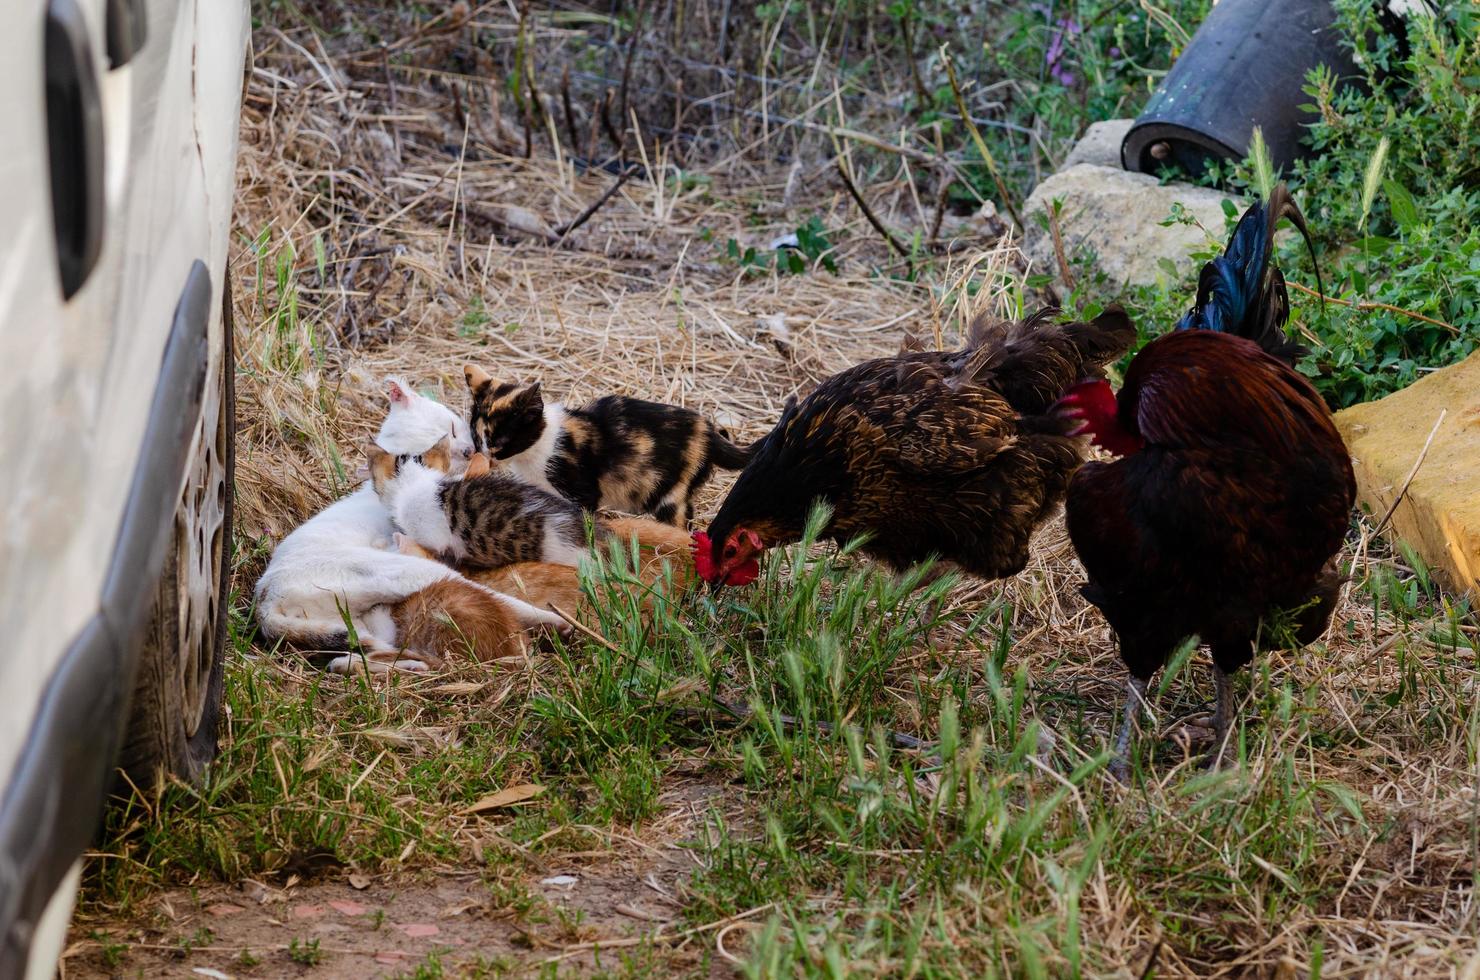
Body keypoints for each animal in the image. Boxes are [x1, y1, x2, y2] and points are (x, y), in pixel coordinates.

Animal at [251, 377, 562, 675]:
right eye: (450, 435)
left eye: (451, 427)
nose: (468, 450)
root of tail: (264, 602)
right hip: (407, 571)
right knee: (497, 599)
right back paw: (560, 623)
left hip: (366, 621)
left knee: (381, 652)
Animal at [461, 362, 751, 529]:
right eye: (476, 437)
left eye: (498, 443)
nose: (484, 456)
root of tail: (708, 431)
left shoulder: (580, 491)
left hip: (670, 493)